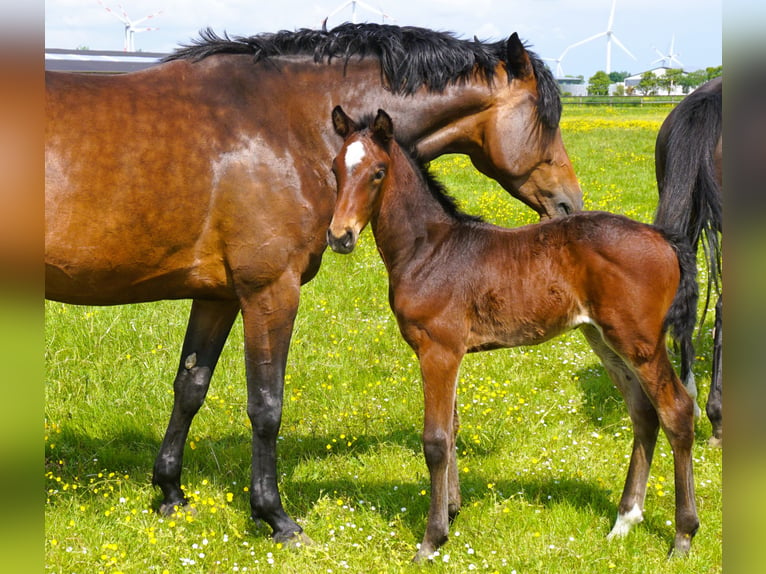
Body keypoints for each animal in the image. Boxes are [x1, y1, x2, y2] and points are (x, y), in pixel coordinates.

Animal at [45, 22, 584, 548]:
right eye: (547, 119)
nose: (570, 205)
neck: (281, 123)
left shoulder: (218, 295)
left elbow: (190, 387)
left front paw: (171, 494)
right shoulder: (270, 291)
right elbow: (266, 405)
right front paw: (276, 518)